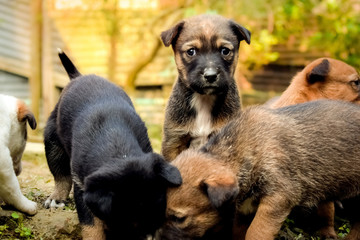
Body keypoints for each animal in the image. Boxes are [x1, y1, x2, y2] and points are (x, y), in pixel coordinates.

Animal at [43, 49, 181, 239]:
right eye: (127, 222)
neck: (118, 151)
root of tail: (78, 77)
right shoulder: (83, 187)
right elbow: (91, 226)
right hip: (52, 140)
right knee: (60, 174)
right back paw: (56, 199)